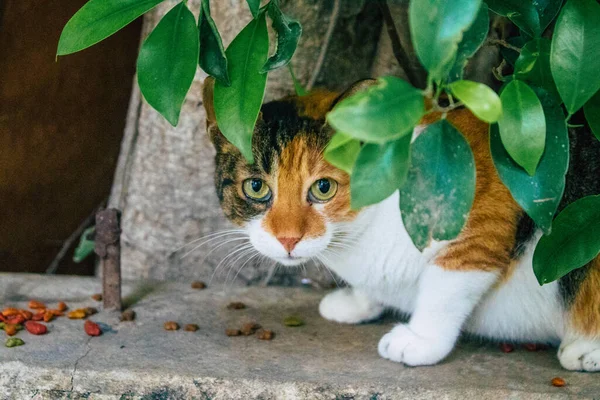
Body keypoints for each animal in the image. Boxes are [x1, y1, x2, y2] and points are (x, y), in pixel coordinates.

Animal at [202, 76, 600, 370]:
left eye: (323, 188)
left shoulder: (485, 216)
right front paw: (356, 302)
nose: (287, 239)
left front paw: (420, 340)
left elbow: (446, 285)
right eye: (256, 187)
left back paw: (584, 350)